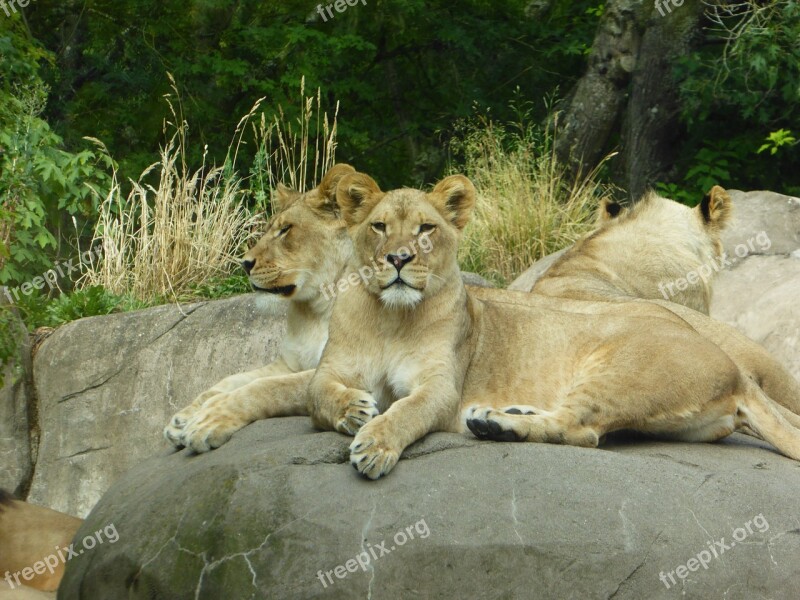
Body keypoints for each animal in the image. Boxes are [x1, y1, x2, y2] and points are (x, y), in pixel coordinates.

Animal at [306, 172, 800, 478]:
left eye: (426, 228)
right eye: (379, 227)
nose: (398, 259)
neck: (390, 317)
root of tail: (735, 373)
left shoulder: (441, 387)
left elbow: (407, 411)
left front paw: (376, 444)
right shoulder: (329, 369)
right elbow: (319, 394)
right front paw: (354, 411)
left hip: (620, 371)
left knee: (581, 429)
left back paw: (493, 424)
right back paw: (508, 416)